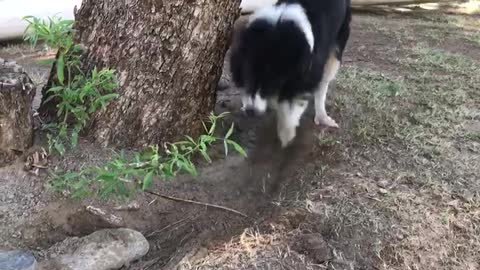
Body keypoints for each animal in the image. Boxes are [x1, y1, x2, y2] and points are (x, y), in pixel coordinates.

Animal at [231, 0, 350, 148]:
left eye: (271, 83)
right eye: (248, 77)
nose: (250, 111)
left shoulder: (306, 72)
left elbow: (292, 102)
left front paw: (286, 135)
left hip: (337, 48)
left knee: (324, 83)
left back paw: (323, 117)